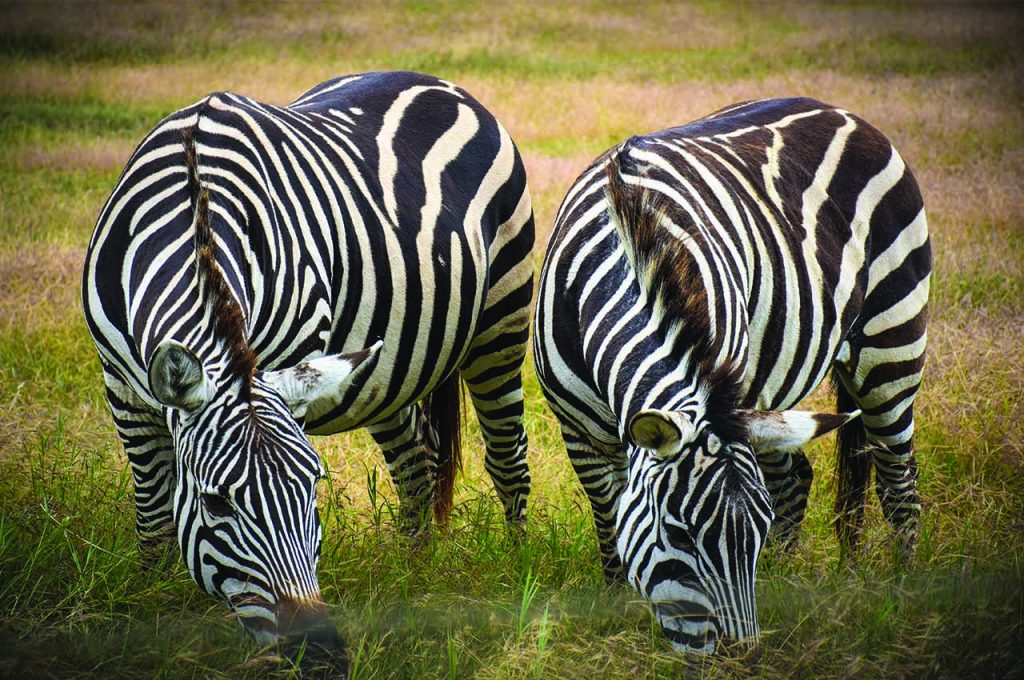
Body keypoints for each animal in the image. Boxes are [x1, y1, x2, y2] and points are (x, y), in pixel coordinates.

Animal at [81, 71, 536, 659]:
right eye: (216, 504)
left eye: (313, 488)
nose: (315, 649)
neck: (193, 209)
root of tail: (438, 81)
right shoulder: (122, 386)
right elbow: (155, 511)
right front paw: (149, 606)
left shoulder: (284, 362)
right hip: (384, 367)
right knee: (416, 461)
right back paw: (414, 575)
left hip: (502, 317)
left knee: (507, 458)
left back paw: (519, 572)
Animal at [536, 98, 929, 651]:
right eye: (678, 534)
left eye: (756, 534)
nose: (739, 657)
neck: (626, 247)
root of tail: (840, 111)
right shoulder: (580, 433)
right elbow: (610, 524)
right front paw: (617, 610)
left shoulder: (724, 388)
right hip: (771, 400)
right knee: (797, 475)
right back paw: (787, 577)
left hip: (891, 344)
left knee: (899, 485)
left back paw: (902, 590)